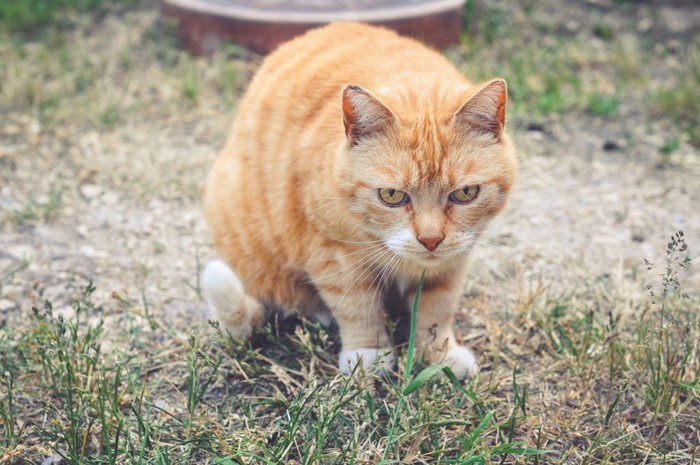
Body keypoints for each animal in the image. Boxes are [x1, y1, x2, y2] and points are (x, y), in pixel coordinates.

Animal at [201, 22, 516, 376]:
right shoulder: (333, 254)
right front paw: (369, 355)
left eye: (464, 193)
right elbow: (357, 307)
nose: (431, 239)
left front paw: (440, 356)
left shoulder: (454, 261)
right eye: (392, 195)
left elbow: (438, 309)